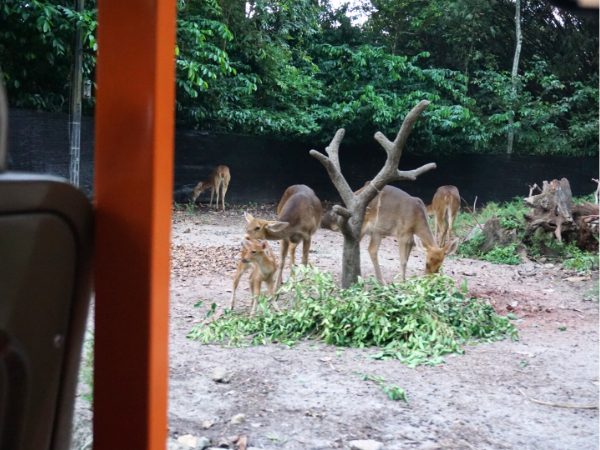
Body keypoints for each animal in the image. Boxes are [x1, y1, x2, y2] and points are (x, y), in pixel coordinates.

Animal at [322, 185, 458, 284]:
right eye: (427, 263)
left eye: (440, 266)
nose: (428, 281)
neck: (416, 222)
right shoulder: (402, 234)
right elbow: (403, 261)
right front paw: (402, 282)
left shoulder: (411, 239)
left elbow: (407, 259)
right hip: (366, 226)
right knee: (363, 246)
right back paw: (380, 280)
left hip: (377, 231)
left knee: (368, 248)